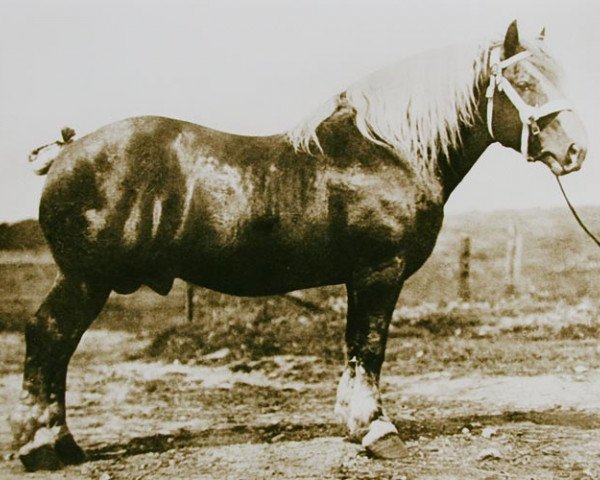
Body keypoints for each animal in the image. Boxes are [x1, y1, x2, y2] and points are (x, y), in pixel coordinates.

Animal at [11, 21, 588, 468]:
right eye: (522, 79)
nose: (575, 151)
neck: (391, 152)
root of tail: (67, 151)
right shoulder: (378, 271)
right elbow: (368, 346)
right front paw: (377, 430)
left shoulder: (366, 276)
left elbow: (357, 348)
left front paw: (355, 424)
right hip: (86, 279)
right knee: (49, 338)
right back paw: (43, 448)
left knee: (57, 345)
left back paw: (60, 444)